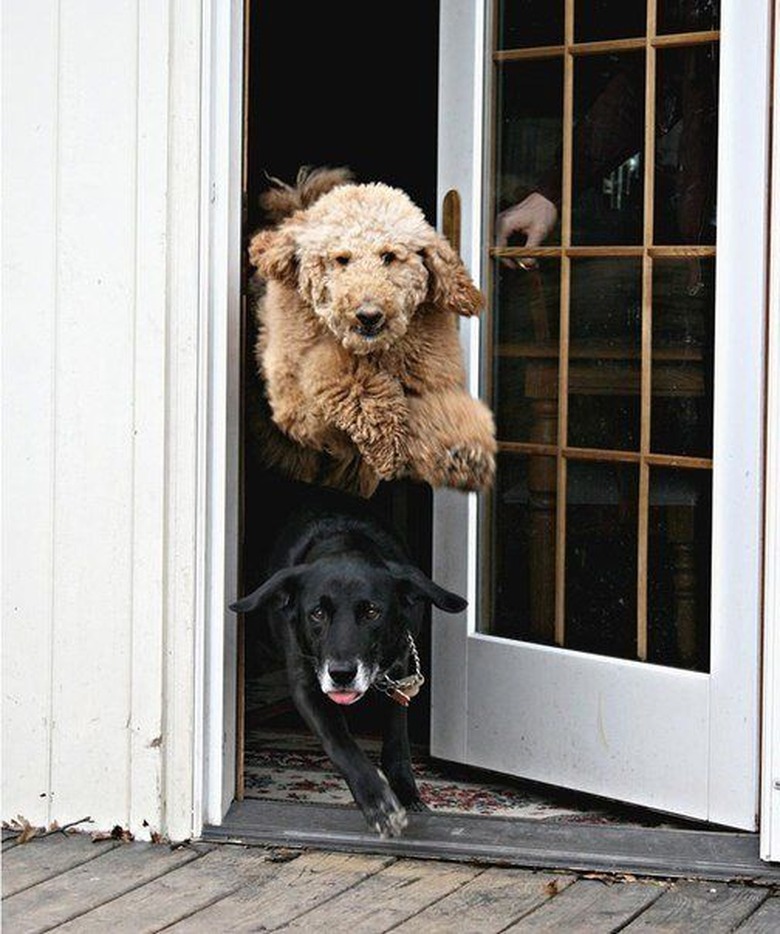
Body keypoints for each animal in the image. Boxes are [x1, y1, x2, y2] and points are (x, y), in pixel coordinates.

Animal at [229, 490, 466, 840]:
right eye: (317, 613)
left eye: (371, 612)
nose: (341, 674)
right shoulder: (307, 684)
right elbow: (340, 742)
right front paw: (378, 802)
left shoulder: (399, 674)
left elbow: (397, 737)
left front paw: (406, 792)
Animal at [247, 166, 496, 498]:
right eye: (341, 259)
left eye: (388, 256)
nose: (368, 316)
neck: (375, 352)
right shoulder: (298, 405)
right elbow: (341, 375)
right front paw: (387, 437)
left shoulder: (432, 379)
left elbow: (436, 412)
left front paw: (461, 450)